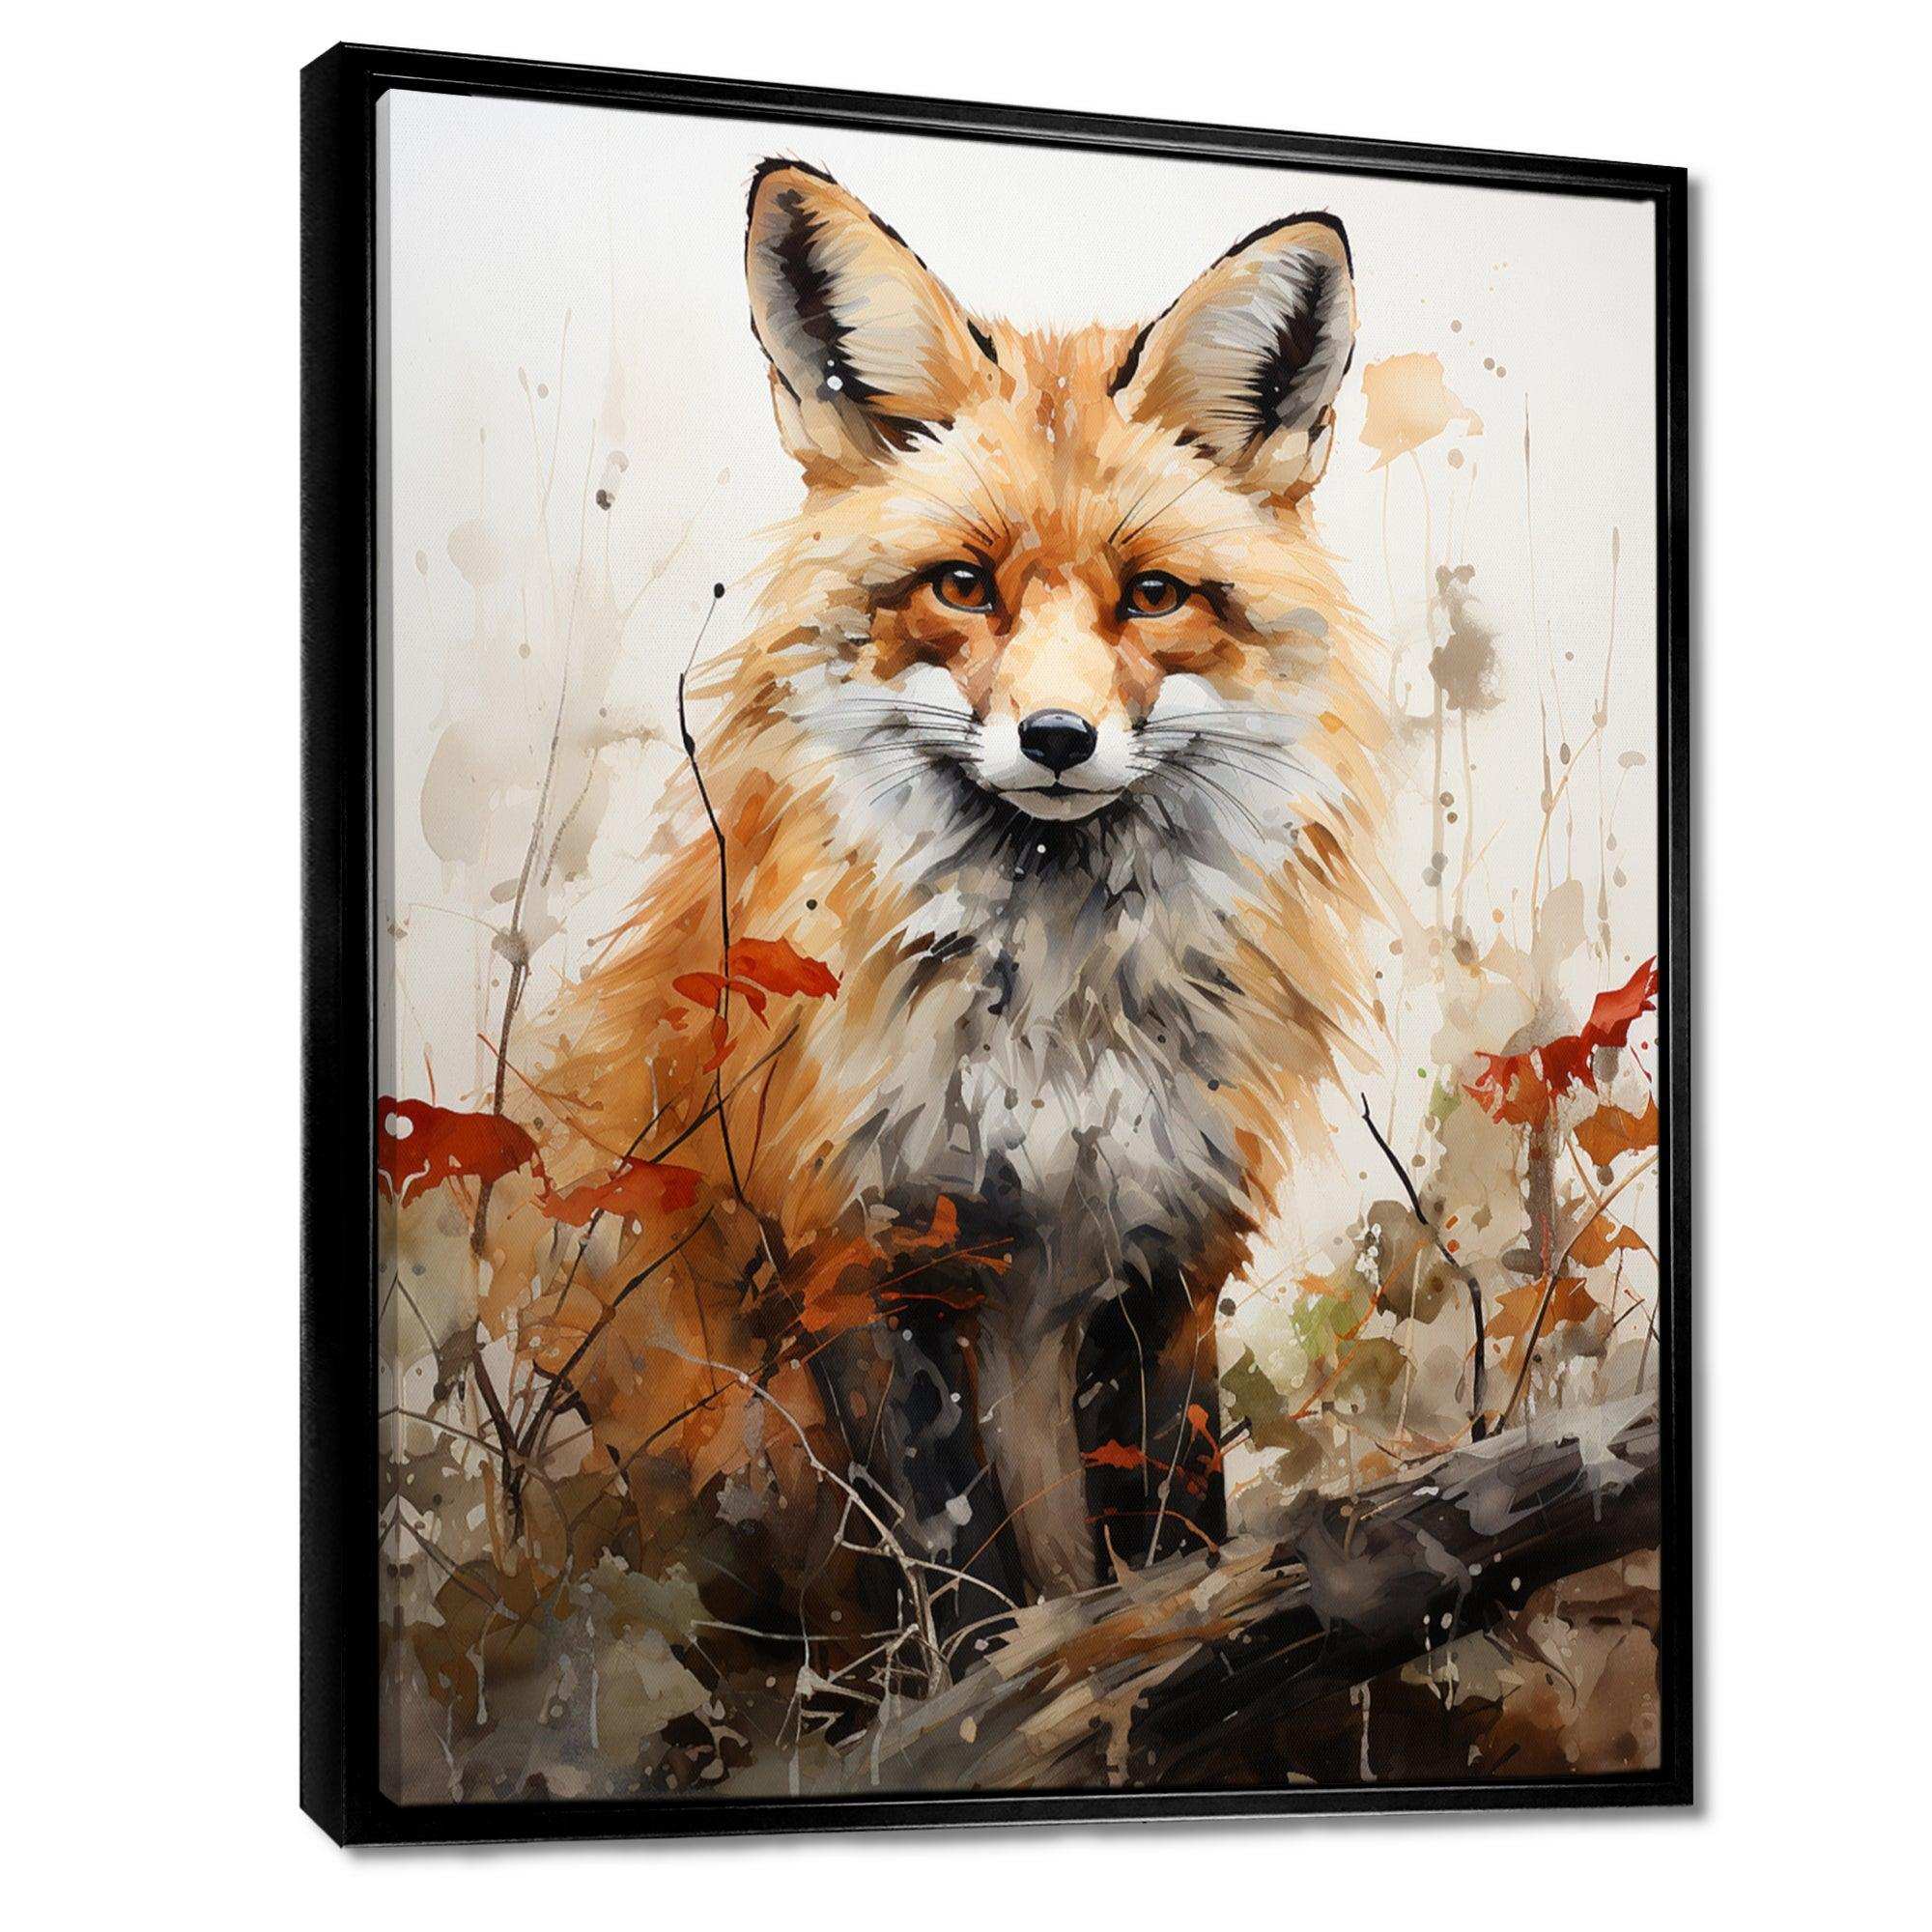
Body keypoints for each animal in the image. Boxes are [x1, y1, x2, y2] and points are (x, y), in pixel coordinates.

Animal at [513, 160, 1387, 1642]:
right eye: (963, 586)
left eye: (1154, 595)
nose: (1057, 738)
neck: (1056, 1024)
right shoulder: (865, 1258)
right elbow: (956, 1578)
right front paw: (991, 1683)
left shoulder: (1166, 1256)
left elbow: (1171, 1536)